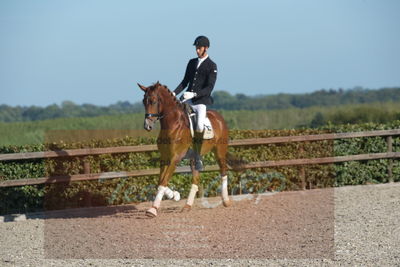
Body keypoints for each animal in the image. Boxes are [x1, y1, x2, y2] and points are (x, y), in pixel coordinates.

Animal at [139, 81, 236, 218]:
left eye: (153, 101)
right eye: (143, 101)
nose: (147, 125)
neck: (173, 124)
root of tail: (219, 117)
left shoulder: (175, 158)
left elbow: (163, 181)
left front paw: (152, 209)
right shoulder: (165, 157)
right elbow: (160, 181)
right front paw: (174, 195)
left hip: (219, 151)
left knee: (223, 171)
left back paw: (226, 201)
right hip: (194, 158)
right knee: (196, 179)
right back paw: (187, 206)